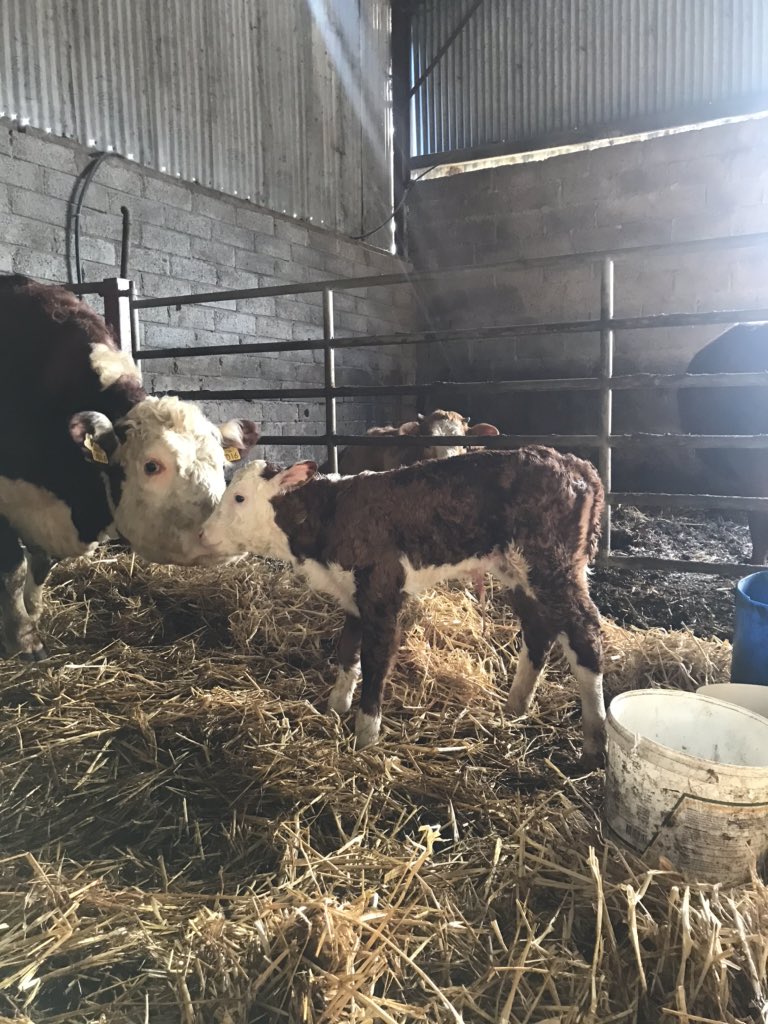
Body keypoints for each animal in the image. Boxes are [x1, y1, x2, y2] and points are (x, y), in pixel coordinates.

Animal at [0, 275, 259, 660]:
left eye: (220, 463)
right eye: (152, 466)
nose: (229, 532)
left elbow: (41, 566)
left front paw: (33, 613)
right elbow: (13, 571)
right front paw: (24, 640)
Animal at [196, 447, 606, 769]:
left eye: (239, 498)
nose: (201, 534)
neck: (333, 515)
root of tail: (577, 465)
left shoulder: (381, 592)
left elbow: (376, 659)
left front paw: (365, 735)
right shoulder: (352, 595)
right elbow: (347, 651)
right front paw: (335, 707)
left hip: (552, 564)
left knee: (585, 631)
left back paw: (594, 742)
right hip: (518, 570)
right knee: (539, 627)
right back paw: (516, 707)